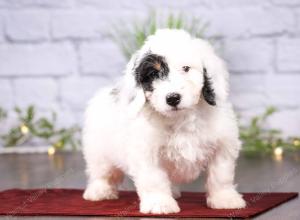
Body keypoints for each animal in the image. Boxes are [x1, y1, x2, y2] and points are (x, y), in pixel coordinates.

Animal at [82, 28, 246, 213]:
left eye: (186, 68)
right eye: (154, 74)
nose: (173, 98)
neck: (181, 117)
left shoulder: (223, 145)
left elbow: (221, 174)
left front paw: (225, 199)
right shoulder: (147, 152)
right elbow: (154, 179)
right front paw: (159, 203)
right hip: (99, 151)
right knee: (101, 172)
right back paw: (99, 191)